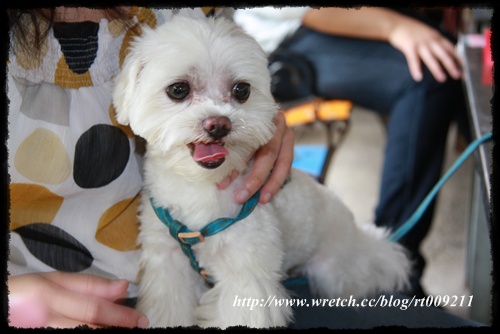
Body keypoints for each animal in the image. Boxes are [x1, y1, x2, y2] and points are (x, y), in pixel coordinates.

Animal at [113, 16, 410, 328]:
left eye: (241, 90)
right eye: (178, 89)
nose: (218, 125)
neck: (200, 188)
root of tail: (355, 233)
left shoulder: (246, 277)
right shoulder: (168, 267)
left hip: (335, 269)